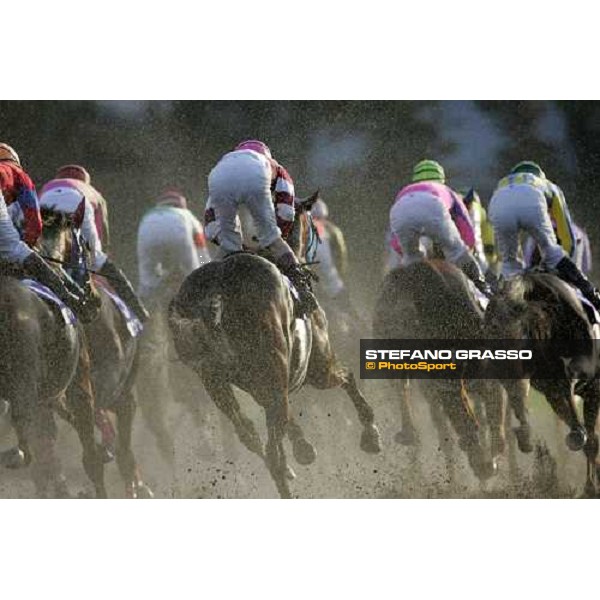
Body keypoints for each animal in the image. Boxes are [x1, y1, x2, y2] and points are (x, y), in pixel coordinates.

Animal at [169, 199, 380, 500]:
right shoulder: (317, 365)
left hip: (214, 381)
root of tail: (217, 294)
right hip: (285, 367)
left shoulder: (264, 385)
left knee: (250, 434)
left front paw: (303, 447)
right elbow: (348, 377)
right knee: (272, 451)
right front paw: (371, 432)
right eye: (313, 226)